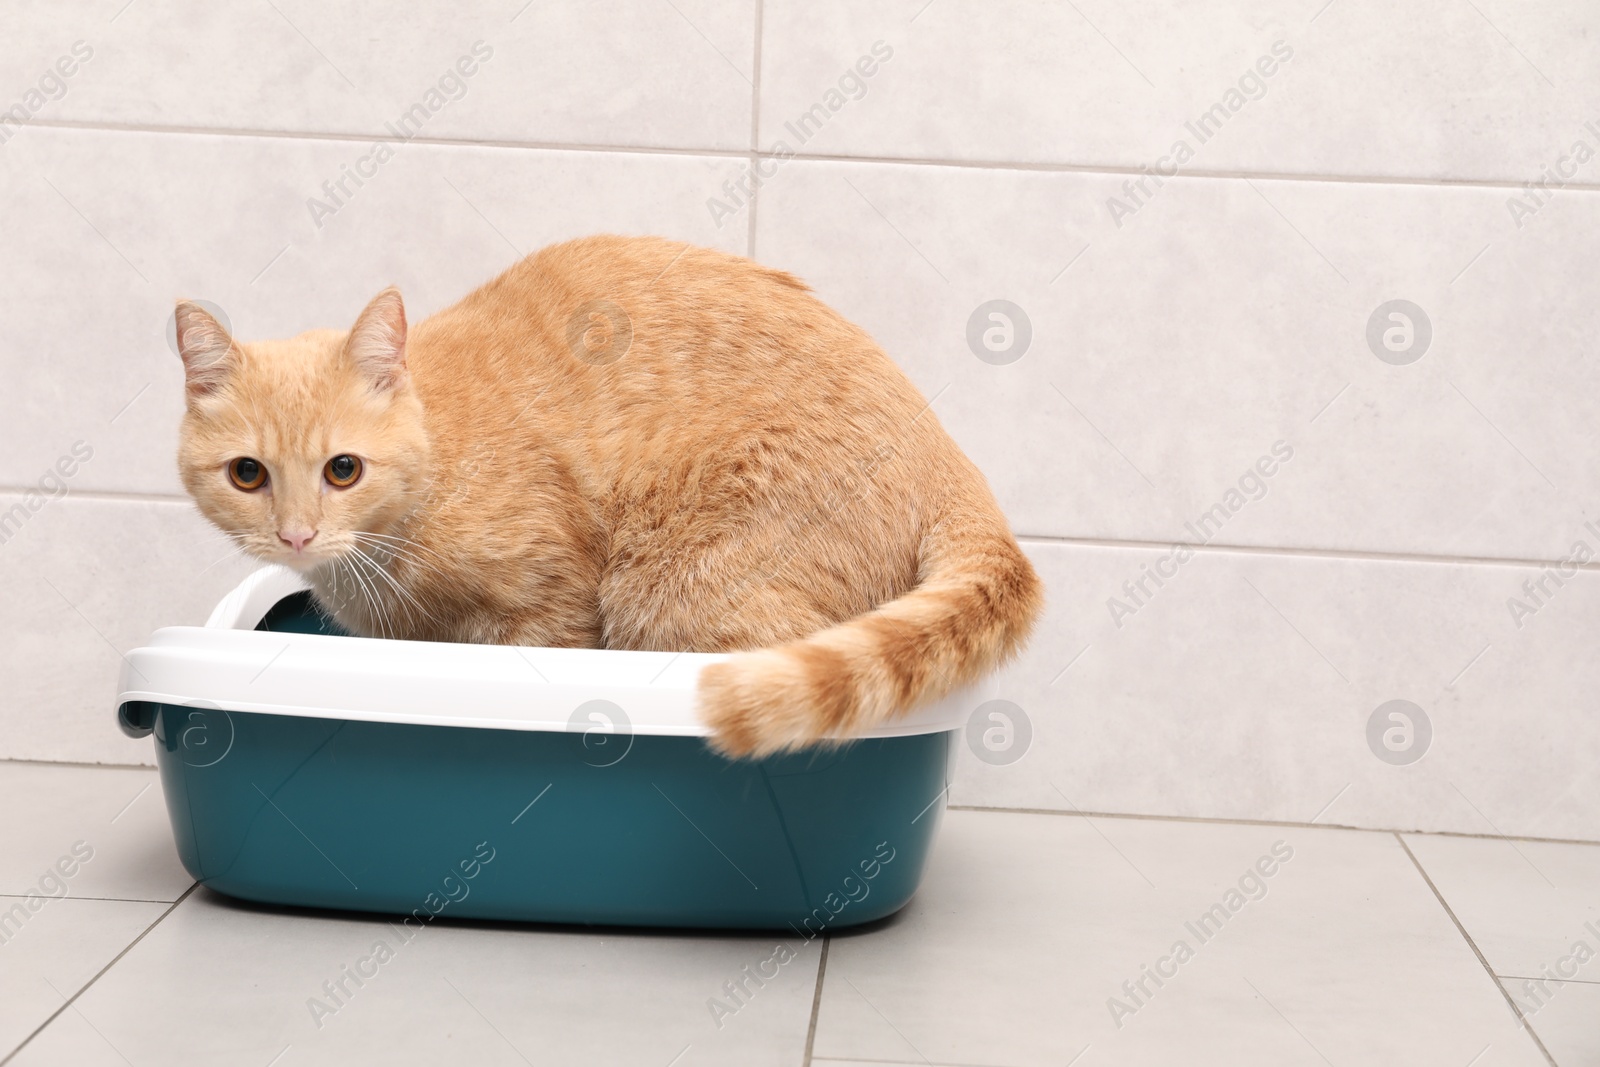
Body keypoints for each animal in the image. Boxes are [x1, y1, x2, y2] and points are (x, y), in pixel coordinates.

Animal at [175, 238, 1043, 755]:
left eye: (343, 470)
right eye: (248, 474)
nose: (295, 536)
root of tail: (945, 453)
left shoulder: (551, 606)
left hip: (676, 594)